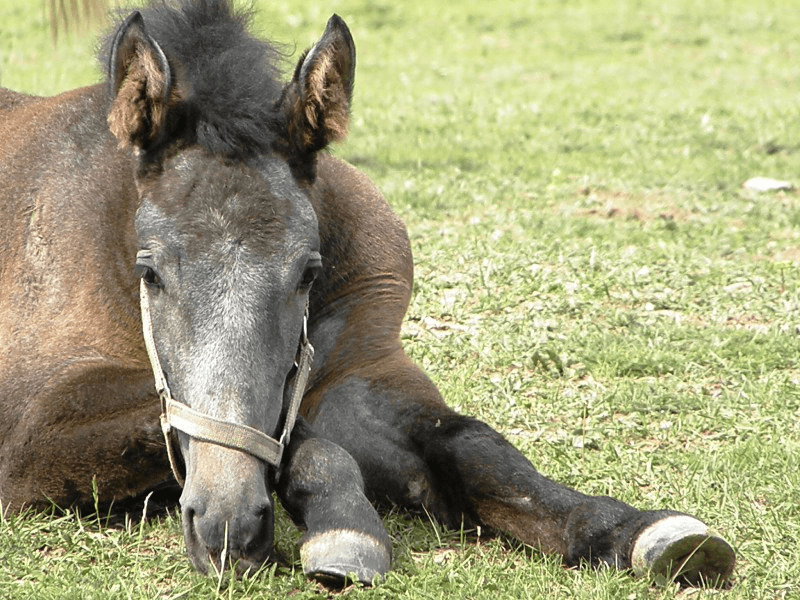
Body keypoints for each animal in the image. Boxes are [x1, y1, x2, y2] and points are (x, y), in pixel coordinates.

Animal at [0, 0, 735, 587]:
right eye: (149, 271)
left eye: (307, 271)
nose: (225, 524)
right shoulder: (29, 437)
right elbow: (299, 433)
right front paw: (347, 531)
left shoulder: (365, 371)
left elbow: (472, 445)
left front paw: (640, 533)